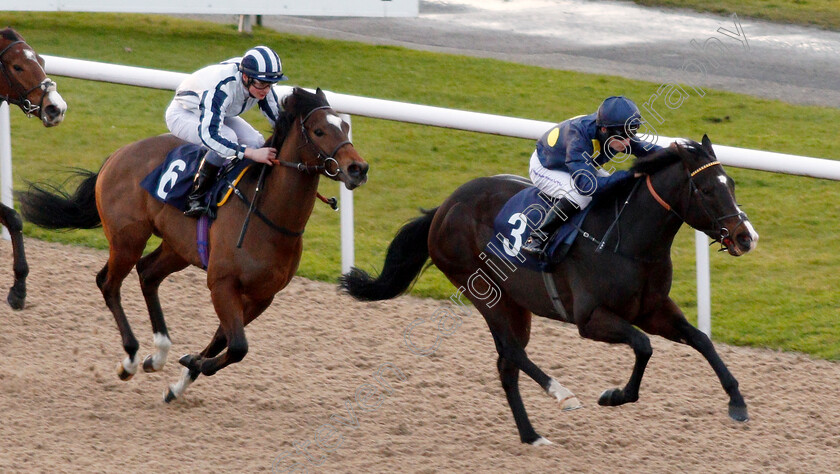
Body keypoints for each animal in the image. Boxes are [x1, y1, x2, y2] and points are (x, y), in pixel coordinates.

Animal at [18, 87, 368, 402]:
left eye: (345, 126)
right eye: (319, 130)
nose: (358, 169)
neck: (268, 213)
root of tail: (117, 154)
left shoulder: (263, 295)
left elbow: (225, 339)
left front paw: (183, 377)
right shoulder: (222, 283)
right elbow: (238, 346)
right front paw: (191, 364)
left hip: (178, 248)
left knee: (147, 274)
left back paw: (159, 353)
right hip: (128, 238)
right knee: (109, 283)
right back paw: (130, 359)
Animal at [338, 135, 756, 446]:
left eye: (732, 185)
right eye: (706, 189)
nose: (745, 236)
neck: (627, 241)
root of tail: (442, 208)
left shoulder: (653, 309)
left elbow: (700, 339)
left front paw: (737, 401)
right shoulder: (591, 319)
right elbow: (643, 345)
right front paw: (614, 396)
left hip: (515, 303)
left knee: (507, 364)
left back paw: (531, 435)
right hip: (484, 291)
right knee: (511, 351)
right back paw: (561, 394)